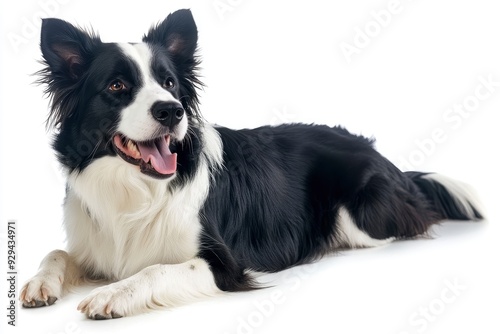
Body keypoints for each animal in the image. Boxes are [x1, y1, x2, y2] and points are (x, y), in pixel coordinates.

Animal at [20, 9, 484, 320]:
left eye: (169, 83)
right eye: (117, 86)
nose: (172, 111)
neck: (134, 188)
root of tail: (386, 160)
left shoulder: (224, 264)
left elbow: (154, 269)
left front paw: (112, 294)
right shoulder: (95, 244)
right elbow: (57, 251)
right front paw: (39, 283)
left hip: (357, 217)